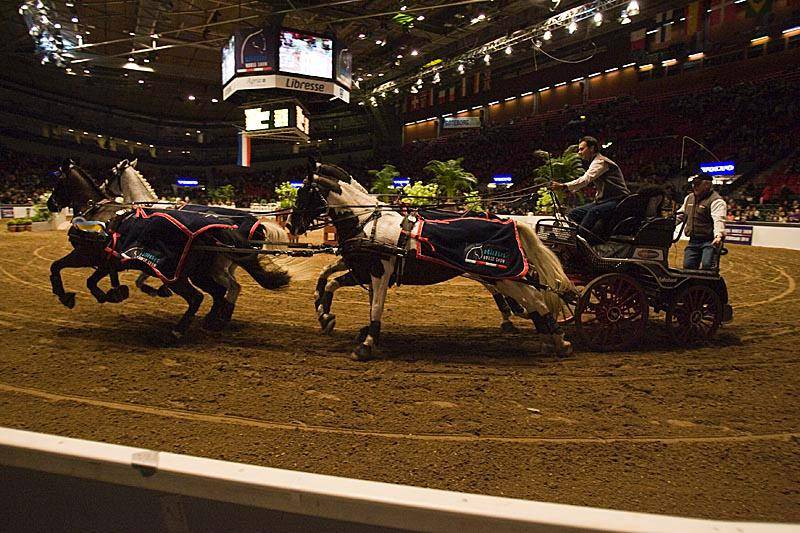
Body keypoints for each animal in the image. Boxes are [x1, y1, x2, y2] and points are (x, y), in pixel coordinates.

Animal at [47, 161, 290, 338]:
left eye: (111, 174)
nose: (50, 204)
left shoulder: (91, 254)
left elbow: (64, 268)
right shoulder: (112, 258)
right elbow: (117, 277)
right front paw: (119, 291)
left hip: (205, 270)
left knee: (217, 291)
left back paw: (192, 325)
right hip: (215, 268)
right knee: (229, 288)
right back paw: (216, 319)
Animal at [287, 163, 577, 361]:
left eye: (303, 194)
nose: (290, 224)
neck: (367, 221)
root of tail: (510, 221)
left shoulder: (380, 271)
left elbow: (375, 306)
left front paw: (366, 343)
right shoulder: (360, 267)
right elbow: (328, 280)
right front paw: (325, 315)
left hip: (502, 276)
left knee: (536, 300)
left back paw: (557, 339)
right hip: (501, 277)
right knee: (532, 300)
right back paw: (548, 337)